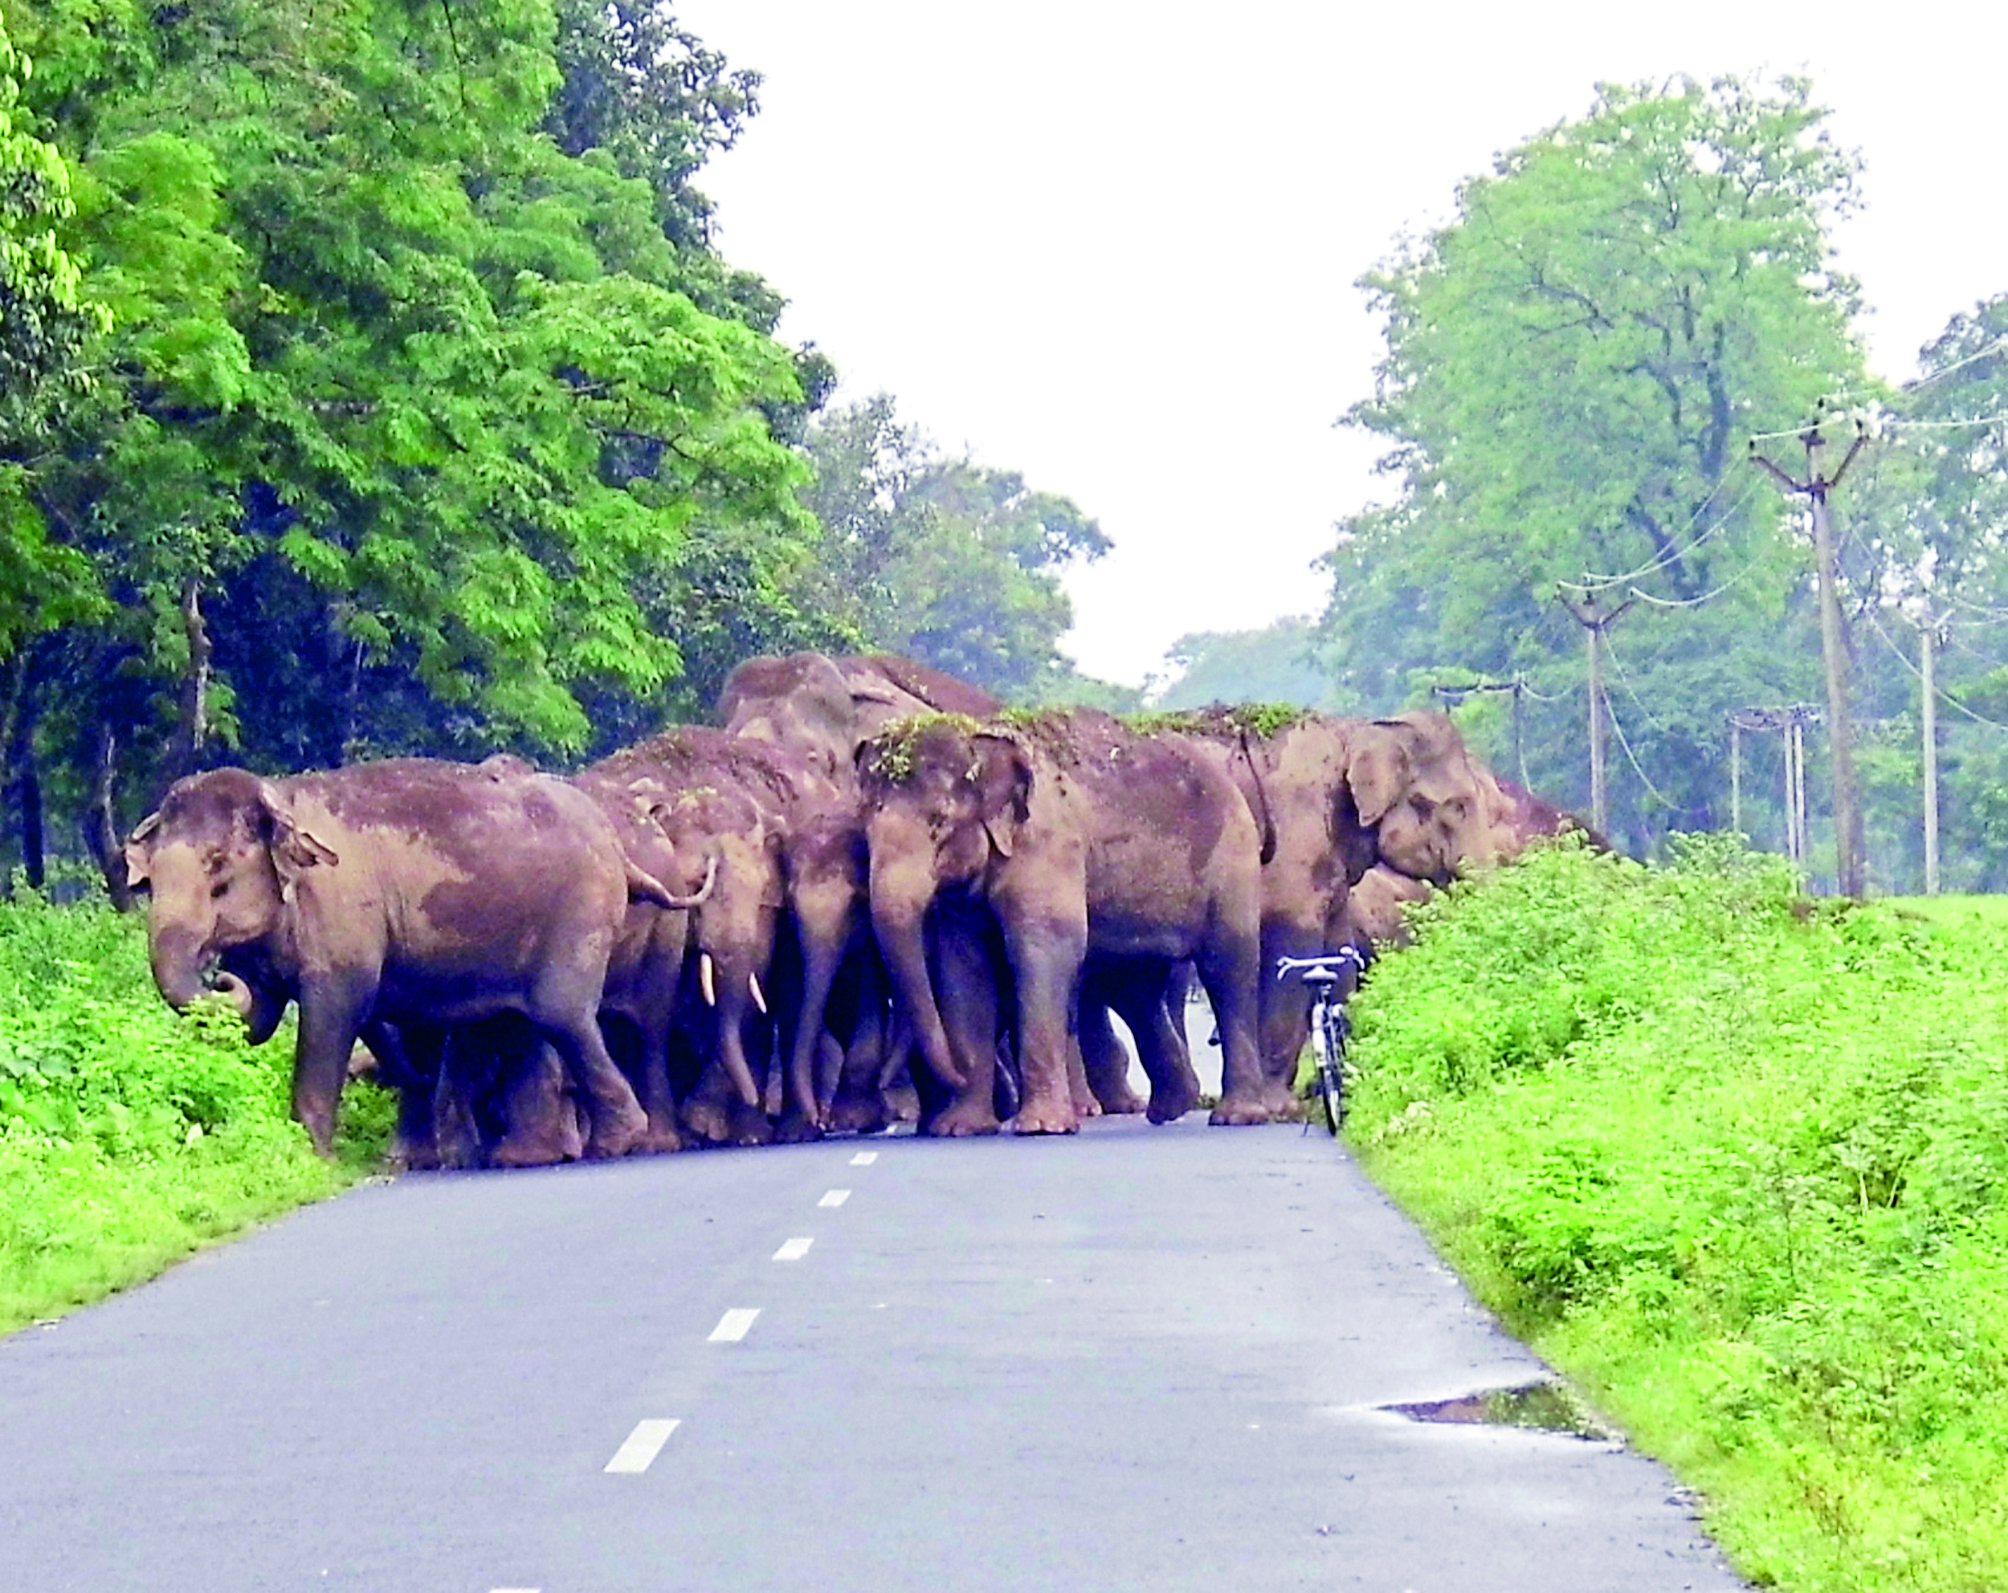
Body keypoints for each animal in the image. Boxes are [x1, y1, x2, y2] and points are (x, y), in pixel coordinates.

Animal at [123, 759, 679, 1157]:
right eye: (148, 878)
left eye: (218, 870)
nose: (216, 974)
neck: (280, 795)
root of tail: (615, 842)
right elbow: (258, 1018)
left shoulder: (341, 917)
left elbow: (333, 1016)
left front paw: (312, 1158)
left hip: (579, 915)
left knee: (562, 1015)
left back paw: (616, 1143)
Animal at [857, 709, 1273, 1135]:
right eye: (865, 825)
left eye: (939, 822)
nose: (956, 1074)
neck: (981, 741)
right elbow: (963, 968)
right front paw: (961, 1128)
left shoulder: (1049, 844)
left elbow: (1043, 951)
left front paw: (1041, 1127)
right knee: (1133, 988)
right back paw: (1171, 1107)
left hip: (1233, 862)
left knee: (1227, 970)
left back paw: (1236, 1116)